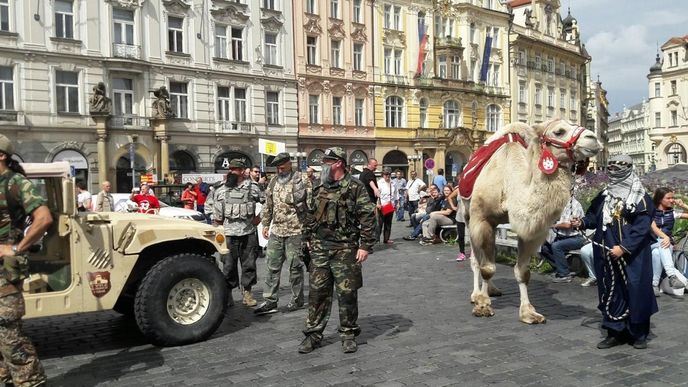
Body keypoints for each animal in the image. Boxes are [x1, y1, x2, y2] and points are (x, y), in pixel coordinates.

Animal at [462, 119, 600, 324]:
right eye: (559, 131)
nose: (593, 138)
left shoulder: (530, 231)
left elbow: (522, 272)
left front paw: (529, 313)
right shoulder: (482, 218)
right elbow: (486, 267)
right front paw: (483, 306)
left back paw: (492, 290)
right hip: (467, 215)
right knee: (476, 260)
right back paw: (475, 294)